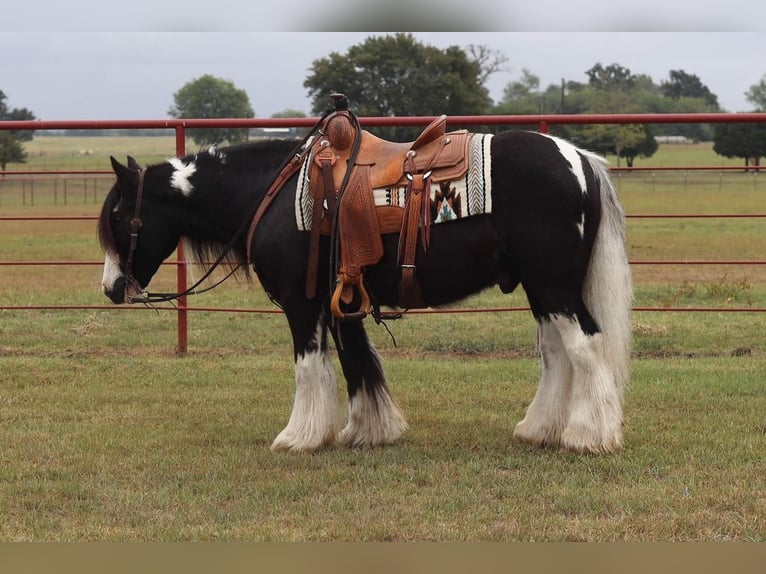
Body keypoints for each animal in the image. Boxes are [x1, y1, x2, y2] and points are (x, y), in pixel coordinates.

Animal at [99, 119, 632, 456]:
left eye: (120, 216)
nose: (111, 287)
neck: (271, 192)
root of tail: (578, 159)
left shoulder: (301, 303)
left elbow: (309, 367)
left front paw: (298, 437)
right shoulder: (340, 300)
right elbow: (356, 361)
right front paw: (369, 430)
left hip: (555, 286)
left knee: (585, 346)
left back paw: (588, 436)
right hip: (543, 291)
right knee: (557, 353)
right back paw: (539, 429)